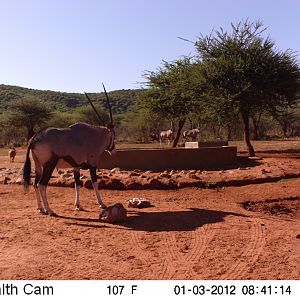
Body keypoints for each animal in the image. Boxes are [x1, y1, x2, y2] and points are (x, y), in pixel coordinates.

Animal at [22, 84, 115, 216]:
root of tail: (35, 138)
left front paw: (78, 205)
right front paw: (101, 204)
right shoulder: (92, 165)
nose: (113, 149)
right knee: (42, 184)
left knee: (35, 183)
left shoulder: (76, 167)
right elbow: (95, 183)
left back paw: (40, 208)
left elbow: (77, 185)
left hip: (38, 165)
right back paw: (49, 210)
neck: (95, 135)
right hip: (49, 165)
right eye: (114, 135)